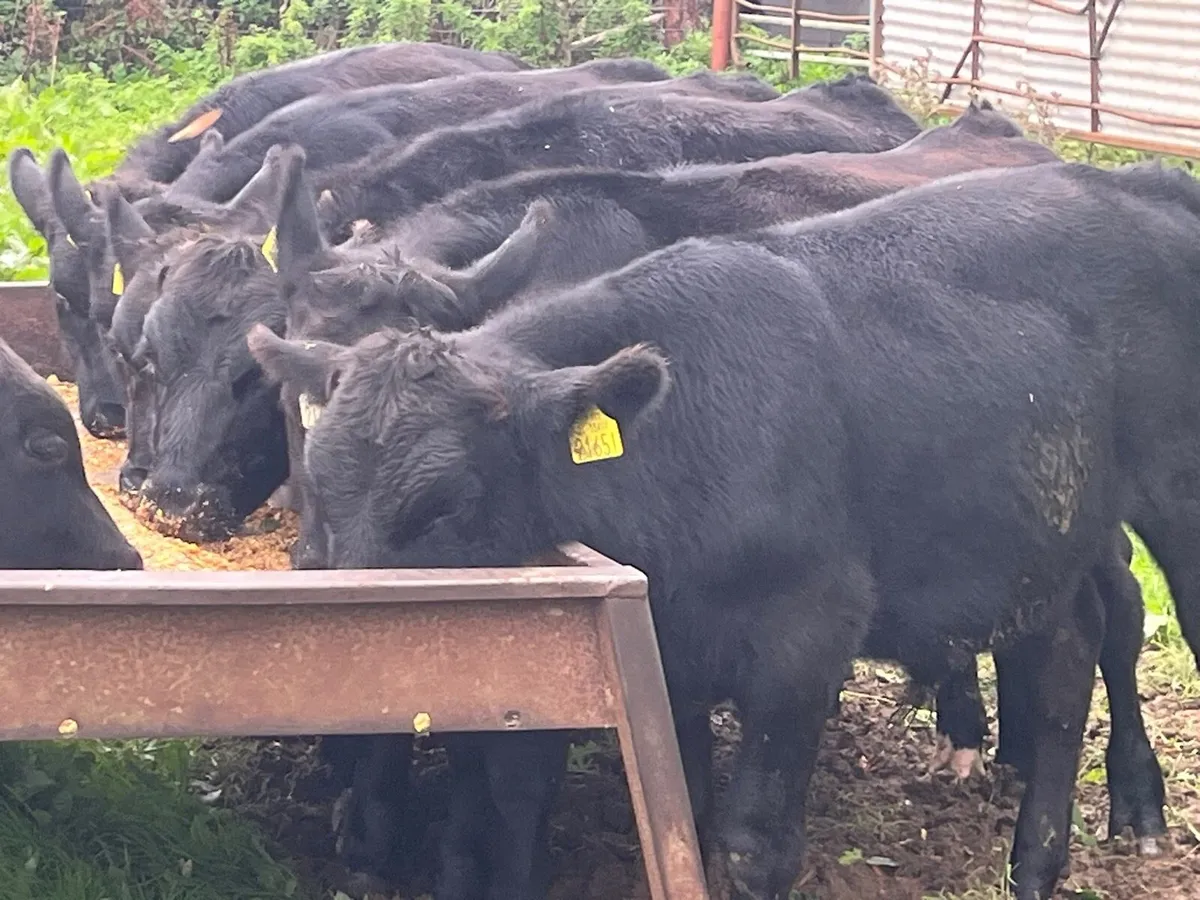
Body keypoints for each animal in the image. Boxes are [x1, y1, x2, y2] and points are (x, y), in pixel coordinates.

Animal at [247, 159, 1200, 900]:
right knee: (1071, 653)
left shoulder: (806, 638)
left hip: (1172, 499)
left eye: (443, 502)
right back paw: (1034, 866)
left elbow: (751, 845)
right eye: (317, 470)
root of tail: (1131, 181)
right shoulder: (665, 661)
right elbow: (684, 817)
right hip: (1044, 531)